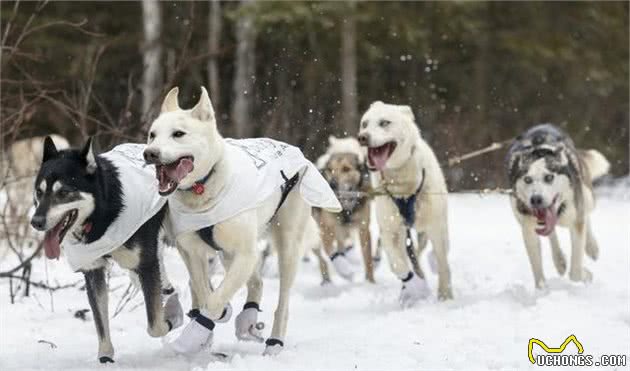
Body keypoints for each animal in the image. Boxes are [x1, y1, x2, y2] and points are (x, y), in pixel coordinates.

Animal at [30, 137, 184, 364]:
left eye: (64, 192)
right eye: (39, 192)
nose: (36, 222)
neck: (101, 215)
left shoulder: (146, 264)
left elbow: (155, 325)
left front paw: (172, 319)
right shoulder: (93, 271)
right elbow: (100, 320)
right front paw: (105, 355)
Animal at [508, 123, 612, 290]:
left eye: (549, 177)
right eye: (527, 179)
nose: (536, 199)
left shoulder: (576, 221)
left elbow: (575, 270)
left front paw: (585, 274)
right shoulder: (528, 229)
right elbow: (537, 270)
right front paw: (542, 290)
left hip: (587, 196)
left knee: (586, 215)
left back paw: (591, 246)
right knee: (551, 233)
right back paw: (559, 260)